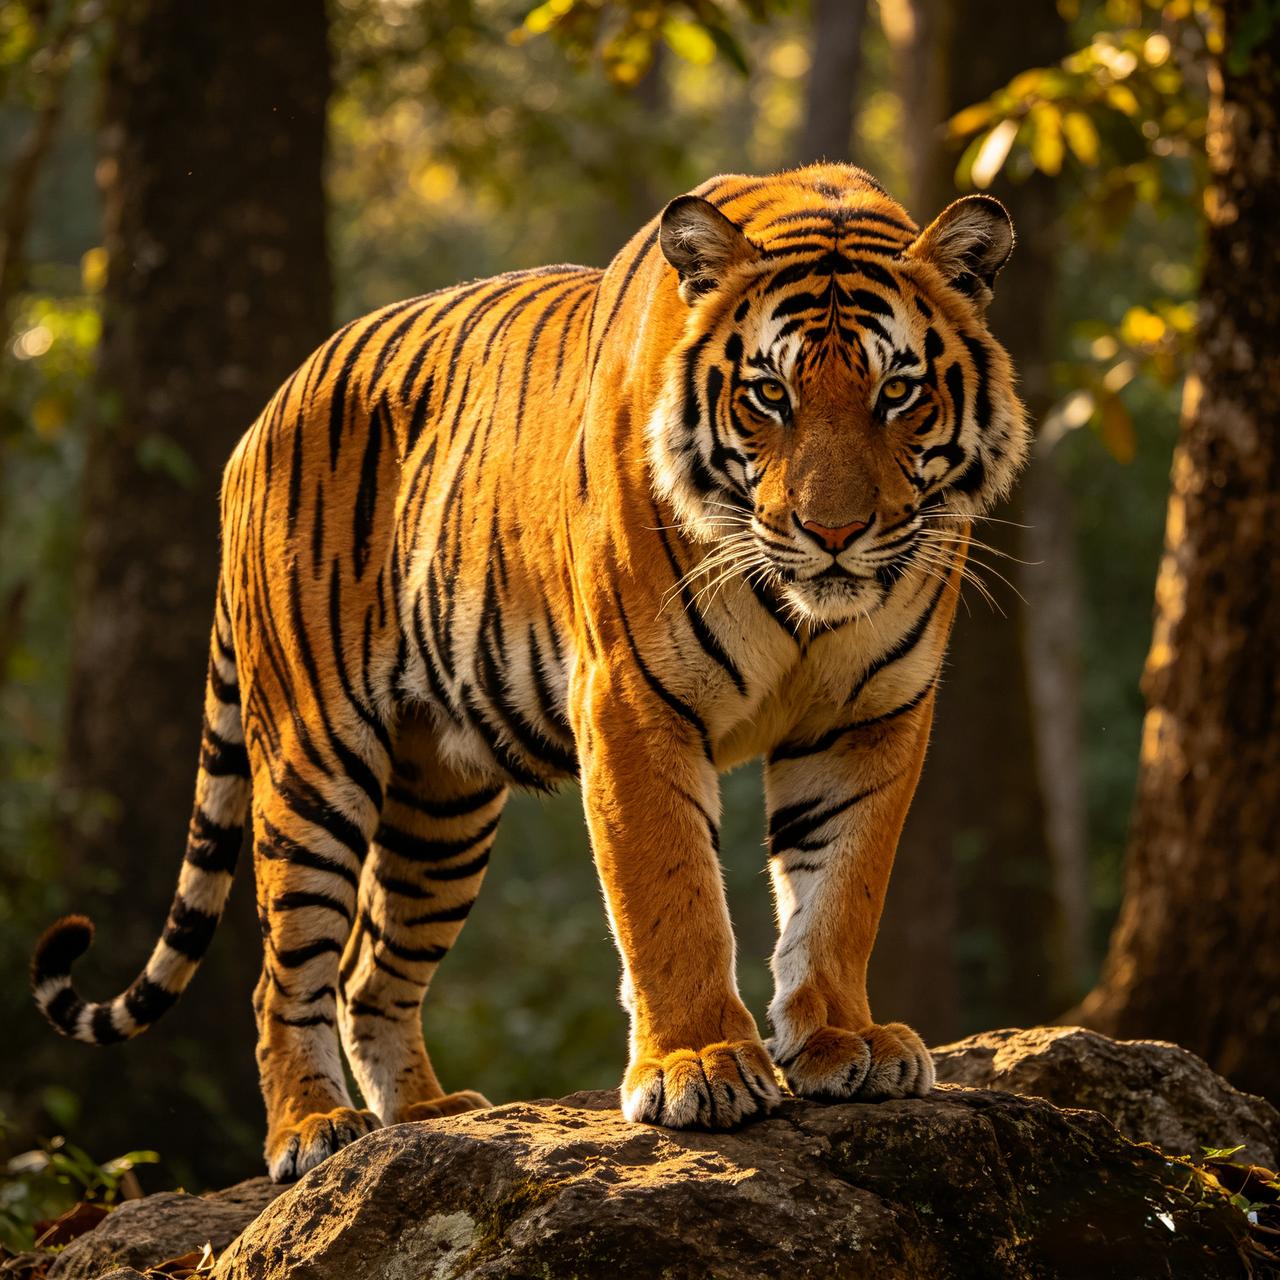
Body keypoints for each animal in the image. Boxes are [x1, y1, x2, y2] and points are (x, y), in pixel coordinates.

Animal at [32, 162, 1027, 1182]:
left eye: (897, 392)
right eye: (768, 395)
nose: (833, 533)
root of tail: (256, 423)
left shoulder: (869, 719)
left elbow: (839, 894)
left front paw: (841, 1042)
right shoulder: (633, 700)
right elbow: (671, 896)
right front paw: (700, 1064)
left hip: (441, 807)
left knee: (370, 973)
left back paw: (425, 1117)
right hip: (313, 763)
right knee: (289, 973)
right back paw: (313, 1130)